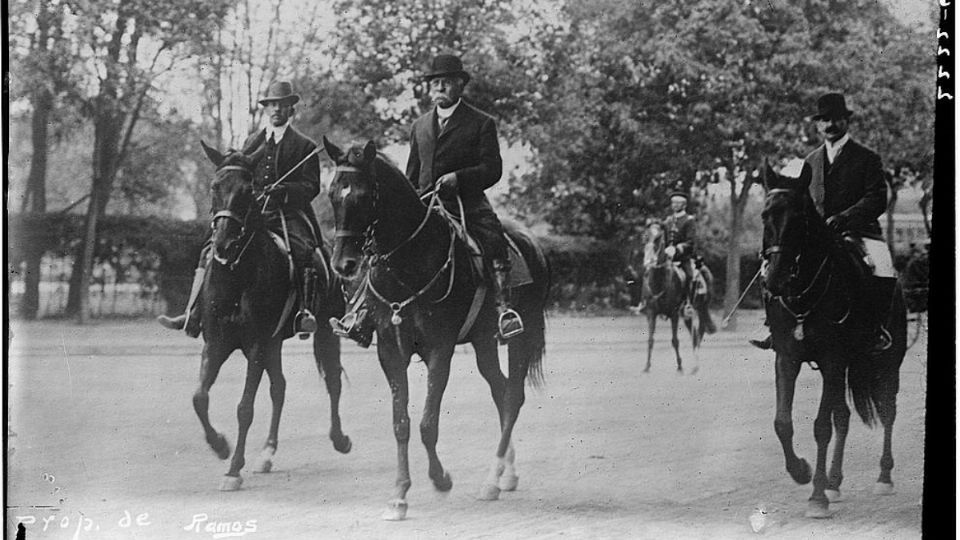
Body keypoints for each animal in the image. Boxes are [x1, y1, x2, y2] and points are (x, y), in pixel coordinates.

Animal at [191, 141, 352, 492]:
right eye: (214, 186)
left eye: (248, 189)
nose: (224, 245)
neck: (237, 275)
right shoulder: (216, 344)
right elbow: (199, 397)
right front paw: (220, 446)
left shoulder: (255, 345)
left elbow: (245, 407)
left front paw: (233, 470)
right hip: (274, 342)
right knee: (279, 387)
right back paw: (267, 452)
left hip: (322, 331)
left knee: (332, 382)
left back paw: (339, 439)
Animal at [322, 138, 548, 520]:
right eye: (333, 194)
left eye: (365, 196)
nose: (344, 265)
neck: (410, 258)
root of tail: (530, 242)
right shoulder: (390, 351)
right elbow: (401, 423)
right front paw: (399, 494)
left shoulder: (439, 350)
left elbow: (428, 424)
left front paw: (441, 479)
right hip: (484, 343)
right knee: (501, 391)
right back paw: (506, 474)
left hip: (520, 338)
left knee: (513, 396)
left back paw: (491, 480)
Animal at [632, 221, 712, 374]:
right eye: (645, 237)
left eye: (658, 238)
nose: (648, 261)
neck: (660, 280)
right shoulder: (651, 313)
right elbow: (650, 340)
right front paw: (647, 366)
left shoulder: (674, 314)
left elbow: (675, 340)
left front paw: (680, 366)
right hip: (687, 316)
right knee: (694, 334)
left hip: (700, 309)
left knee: (700, 331)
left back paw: (695, 364)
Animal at [756, 167, 908, 516]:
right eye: (764, 215)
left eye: (799, 218)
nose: (775, 280)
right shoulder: (787, 358)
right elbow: (783, 422)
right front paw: (802, 472)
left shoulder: (832, 359)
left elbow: (821, 426)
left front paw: (816, 497)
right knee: (844, 417)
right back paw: (834, 482)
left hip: (887, 363)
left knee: (888, 411)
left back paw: (883, 477)